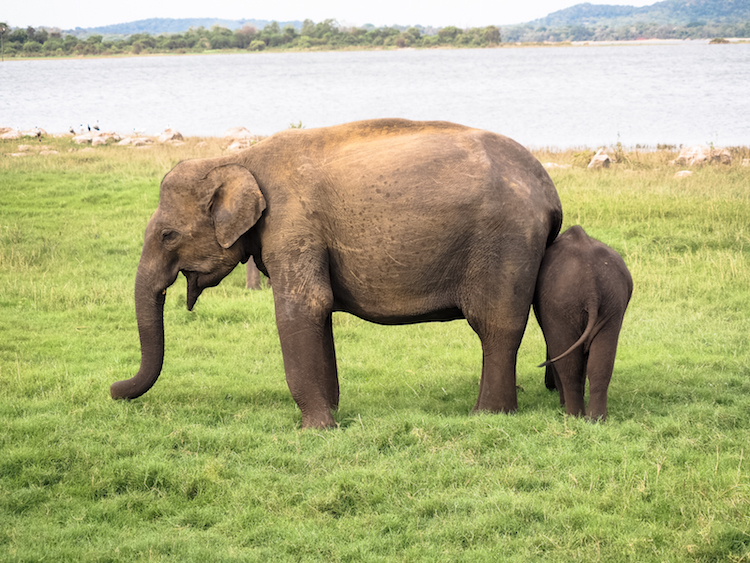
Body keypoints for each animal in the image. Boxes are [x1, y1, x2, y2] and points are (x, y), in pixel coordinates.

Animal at [111, 119, 564, 428]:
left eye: (168, 235)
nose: (114, 389)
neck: (238, 158)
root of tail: (549, 190)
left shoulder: (293, 225)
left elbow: (303, 307)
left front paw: (315, 429)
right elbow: (320, 313)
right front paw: (329, 414)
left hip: (505, 243)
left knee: (496, 327)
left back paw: (487, 415)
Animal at [536, 227, 636, 420]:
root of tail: (591, 284)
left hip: (561, 307)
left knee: (567, 363)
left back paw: (573, 416)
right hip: (612, 302)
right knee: (601, 362)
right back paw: (595, 419)